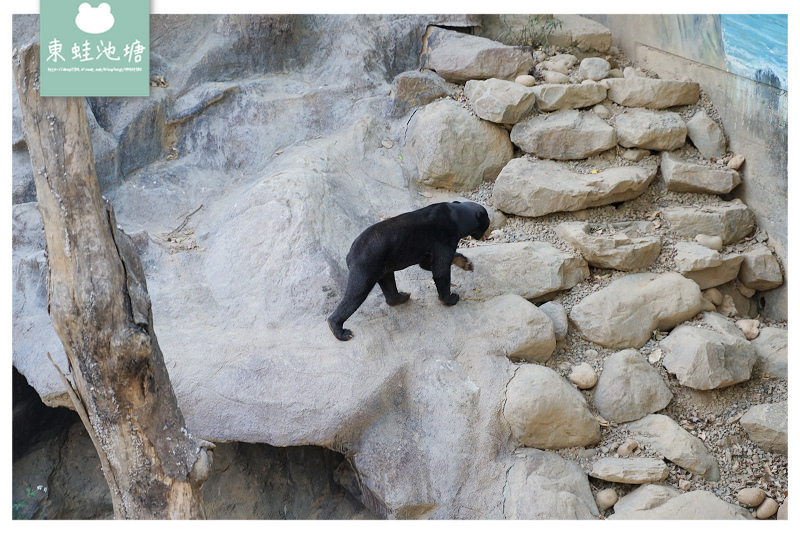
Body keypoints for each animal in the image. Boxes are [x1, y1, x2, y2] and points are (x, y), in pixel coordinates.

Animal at [324, 200, 488, 340]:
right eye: (487, 223)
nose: (485, 236)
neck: (456, 215)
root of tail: (349, 254)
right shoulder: (444, 236)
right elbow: (440, 269)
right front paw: (452, 298)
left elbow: (427, 263)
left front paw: (467, 264)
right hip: (366, 265)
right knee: (356, 292)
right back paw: (341, 331)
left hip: (383, 265)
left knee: (388, 284)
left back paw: (402, 296)